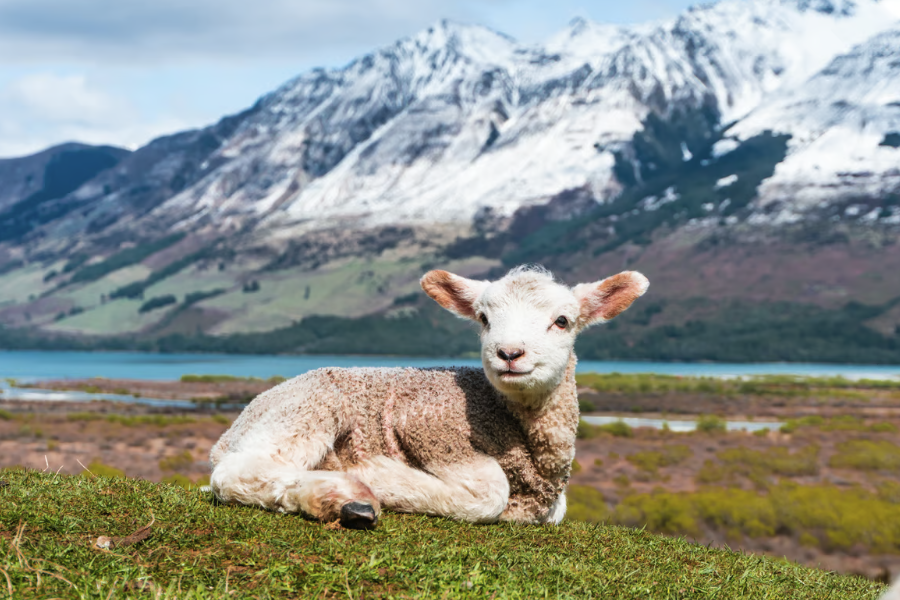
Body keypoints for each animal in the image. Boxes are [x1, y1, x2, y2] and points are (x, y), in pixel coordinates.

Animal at [209, 264, 648, 528]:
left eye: (562, 321)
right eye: (484, 319)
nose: (509, 353)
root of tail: (229, 433)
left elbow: (555, 509)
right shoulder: (428, 423)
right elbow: (489, 494)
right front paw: (379, 475)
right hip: (308, 408)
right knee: (236, 473)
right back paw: (340, 496)